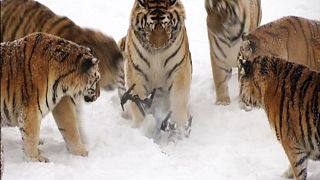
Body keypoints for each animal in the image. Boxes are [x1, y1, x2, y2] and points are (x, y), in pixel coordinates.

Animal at [0, 32, 100, 162]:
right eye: (97, 80)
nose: (98, 96)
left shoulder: (62, 102)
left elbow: (70, 126)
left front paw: (80, 152)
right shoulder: (30, 109)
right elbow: (31, 135)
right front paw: (36, 159)